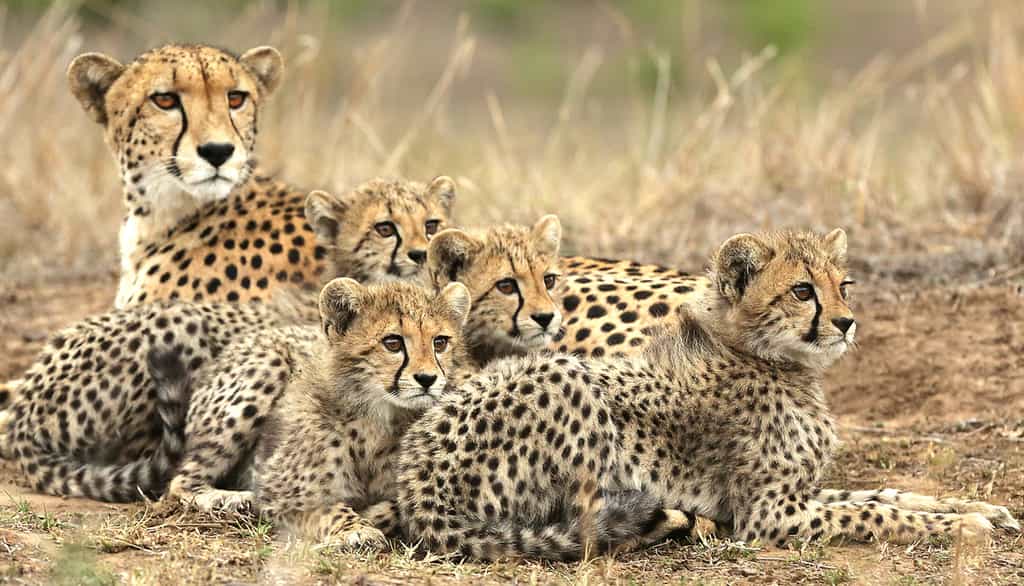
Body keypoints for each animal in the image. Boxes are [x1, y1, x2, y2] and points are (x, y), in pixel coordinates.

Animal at [395, 228, 1020, 560]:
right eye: (802, 291)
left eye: (843, 286)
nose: (846, 323)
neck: (770, 359)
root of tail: (415, 486)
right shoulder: (770, 515)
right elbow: (868, 512)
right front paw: (964, 528)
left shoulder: (802, 491)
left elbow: (882, 494)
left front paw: (978, 508)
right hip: (569, 380)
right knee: (584, 521)